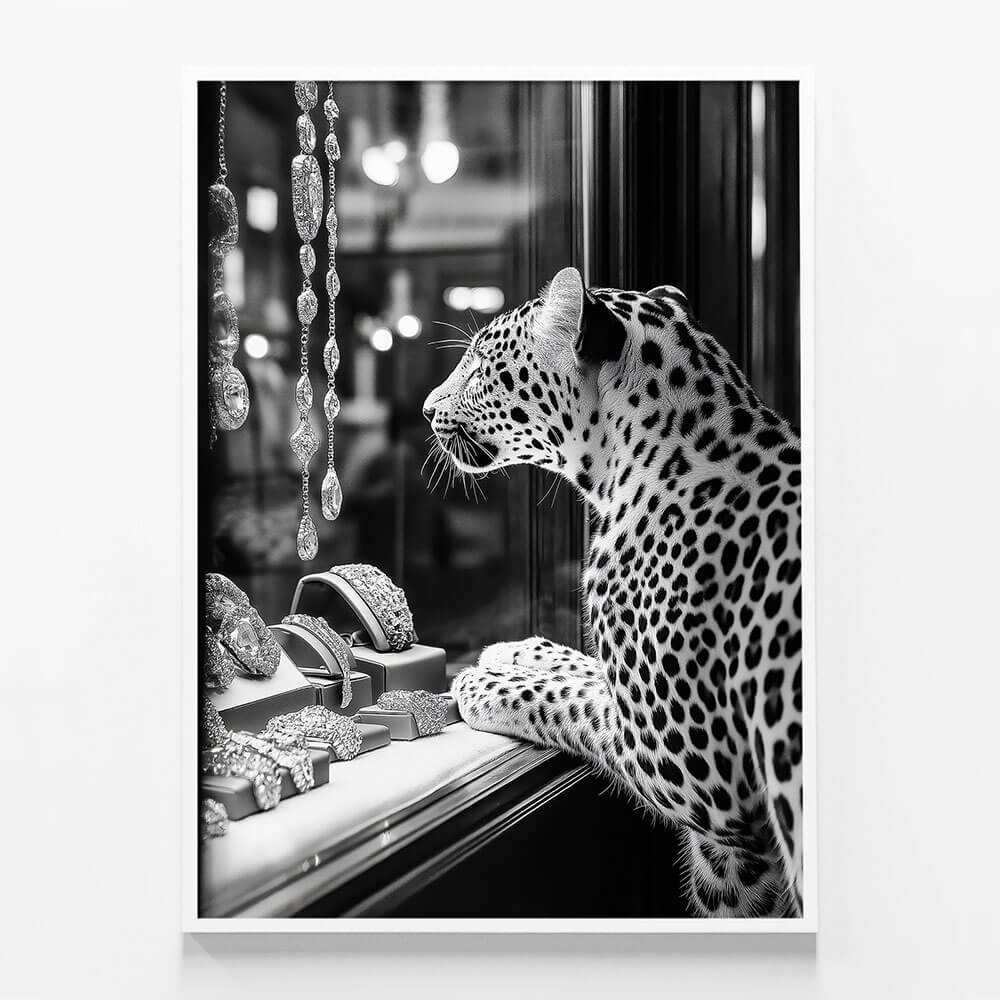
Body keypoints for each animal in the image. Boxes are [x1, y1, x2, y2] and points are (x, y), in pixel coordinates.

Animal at [423, 266, 803, 918]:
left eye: (477, 368)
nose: (424, 410)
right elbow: (584, 667)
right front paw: (517, 650)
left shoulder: (692, 770)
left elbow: (565, 700)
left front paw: (482, 682)